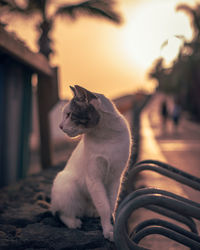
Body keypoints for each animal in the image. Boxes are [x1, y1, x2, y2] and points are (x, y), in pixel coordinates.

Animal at [50, 85, 131, 240]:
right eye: (65, 114)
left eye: (69, 114)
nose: (60, 126)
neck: (106, 137)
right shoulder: (94, 178)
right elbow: (104, 207)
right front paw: (108, 230)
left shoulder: (115, 178)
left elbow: (110, 204)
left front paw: (112, 224)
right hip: (66, 184)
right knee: (62, 213)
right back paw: (74, 222)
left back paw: (93, 213)